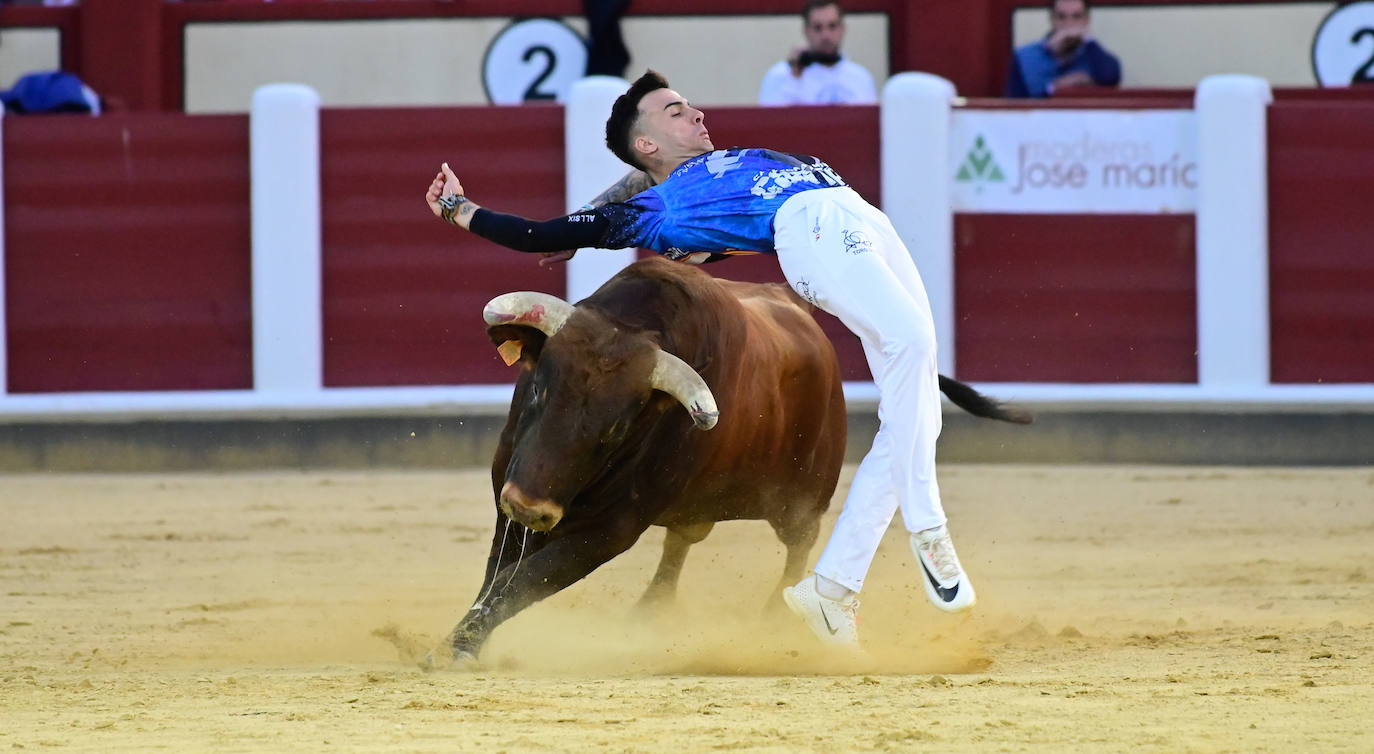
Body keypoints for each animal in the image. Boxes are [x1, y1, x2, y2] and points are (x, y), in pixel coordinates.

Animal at [431, 256, 1033, 664]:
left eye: (617, 428)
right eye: (537, 389)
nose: (530, 506)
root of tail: (796, 305)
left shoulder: (609, 530)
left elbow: (528, 580)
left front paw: (458, 647)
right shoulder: (509, 493)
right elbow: (500, 575)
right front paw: (459, 641)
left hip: (803, 495)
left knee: (799, 542)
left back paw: (777, 619)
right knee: (682, 540)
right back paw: (651, 611)